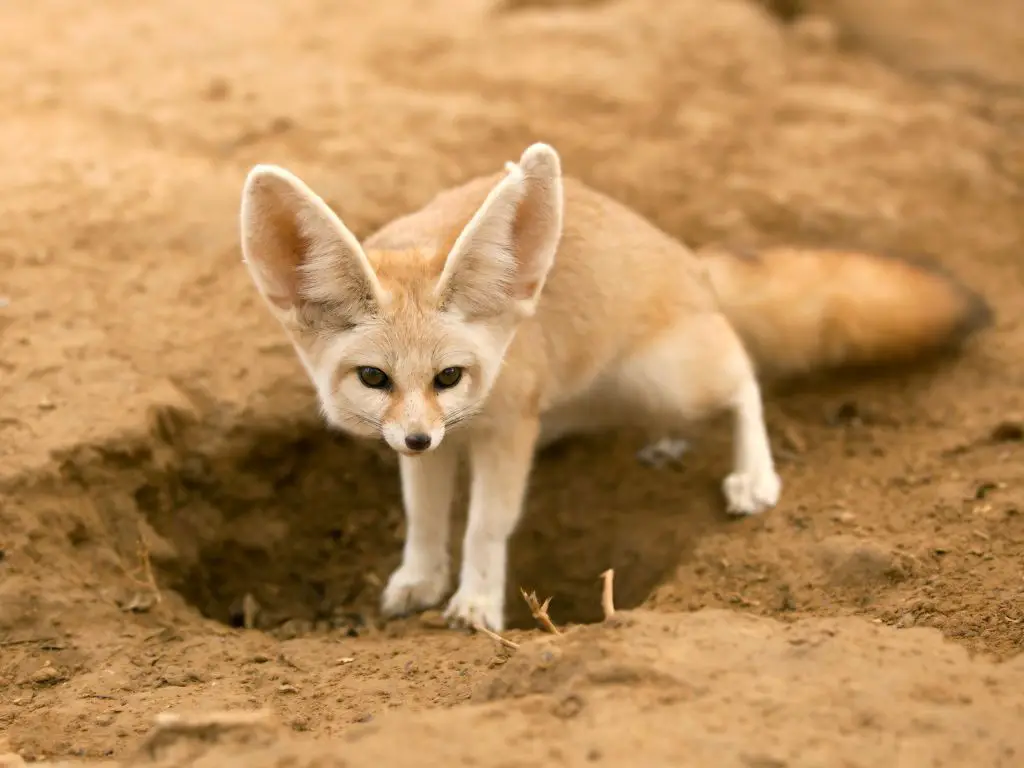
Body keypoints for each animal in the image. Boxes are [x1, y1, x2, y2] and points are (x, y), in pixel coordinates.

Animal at [239, 144, 991, 630]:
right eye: (374, 378)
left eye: (449, 376)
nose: (419, 437)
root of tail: (689, 260)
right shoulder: (439, 442)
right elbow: (424, 517)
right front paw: (420, 579)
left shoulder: (506, 430)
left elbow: (486, 525)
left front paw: (477, 603)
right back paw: (667, 443)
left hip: (669, 376)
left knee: (743, 373)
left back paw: (754, 475)